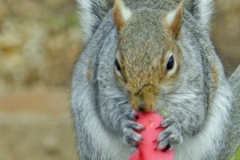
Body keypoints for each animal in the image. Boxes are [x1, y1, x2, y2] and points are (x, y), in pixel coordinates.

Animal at [72, 0, 235, 159]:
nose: (142, 106)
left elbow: (195, 116)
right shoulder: (104, 86)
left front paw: (175, 129)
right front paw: (126, 125)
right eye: (117, 64)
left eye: (170, 63)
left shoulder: (198, 86)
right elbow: (109, 112)